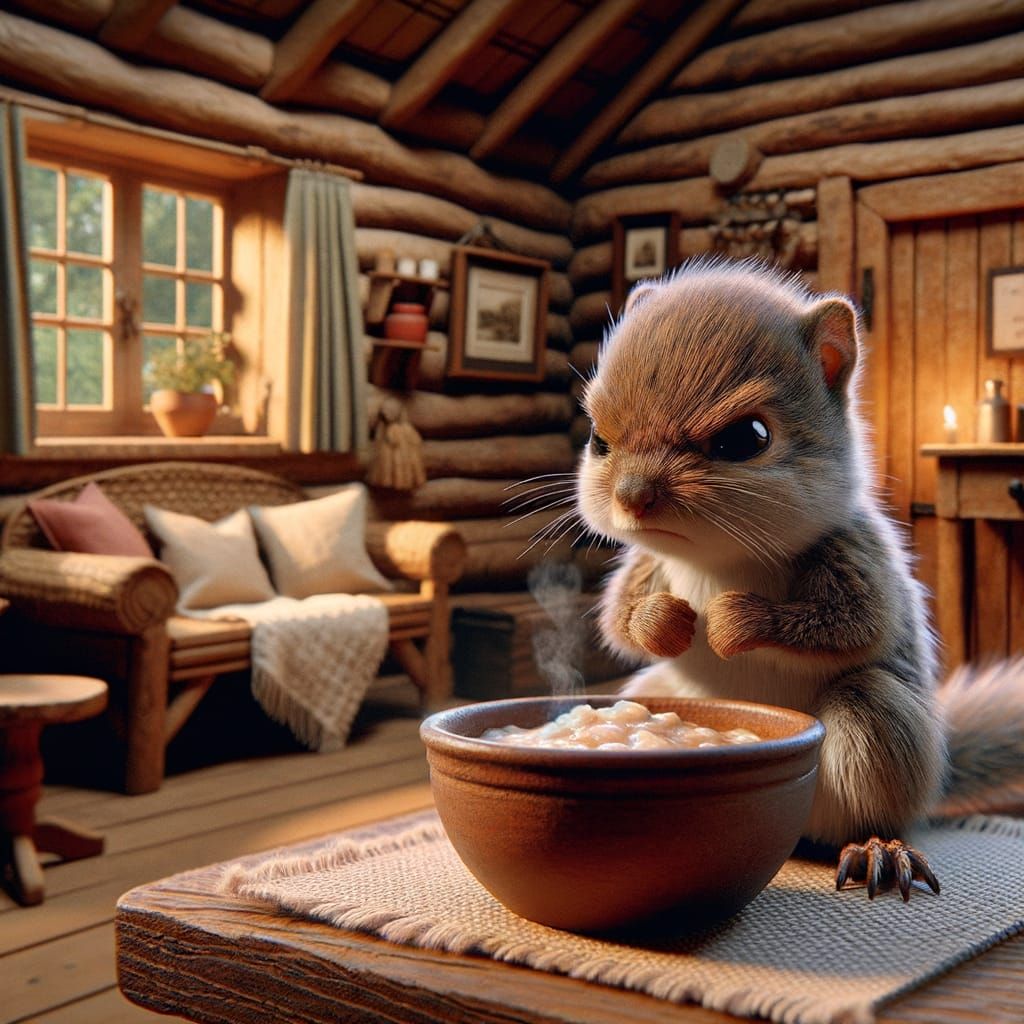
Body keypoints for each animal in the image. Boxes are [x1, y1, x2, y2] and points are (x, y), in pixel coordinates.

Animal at [576, 257, 1024, 899]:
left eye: (747, 438)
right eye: (597, 438)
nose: (631, 498)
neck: (715, 559)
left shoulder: (854, 556)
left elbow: (852, 623)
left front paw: (732, 620)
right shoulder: (647, 564)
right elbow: (617, 619)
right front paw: (664, 621)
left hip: (874, 723)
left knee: (867, 811)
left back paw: (878, 849)